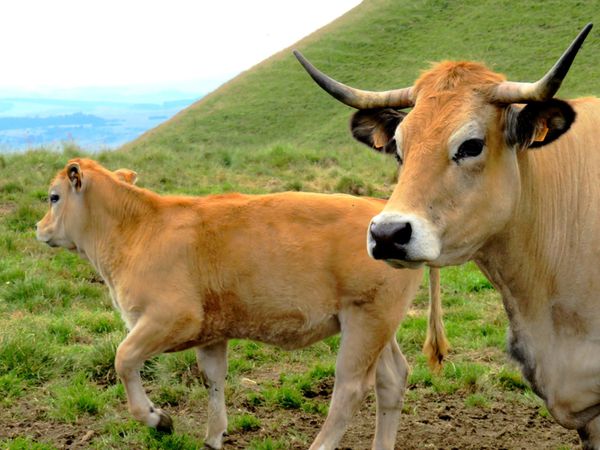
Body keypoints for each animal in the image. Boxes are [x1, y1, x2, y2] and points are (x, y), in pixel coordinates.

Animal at [35, 158, 448, 450]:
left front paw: (158, 419)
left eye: (54, 196)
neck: (139, 229)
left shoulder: (171, 319)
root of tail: (384, 212)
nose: (39, 228)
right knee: (392, 379)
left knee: (350, 388)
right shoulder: (211, 332)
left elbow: (123, 359)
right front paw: (213, 436)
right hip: (378, 325)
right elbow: (213, 378)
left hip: (365, 323)